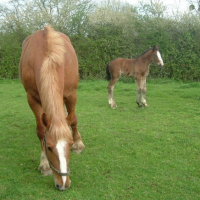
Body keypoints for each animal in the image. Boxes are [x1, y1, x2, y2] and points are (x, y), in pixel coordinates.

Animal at [19, 26, 86, 191]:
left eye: (69, 144)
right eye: (49, 147)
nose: (64, 184)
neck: (48, 58)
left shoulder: (71, 94)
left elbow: (73, 120)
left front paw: (78, 144)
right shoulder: (32, 99)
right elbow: (41, 130)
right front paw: (44, 165)